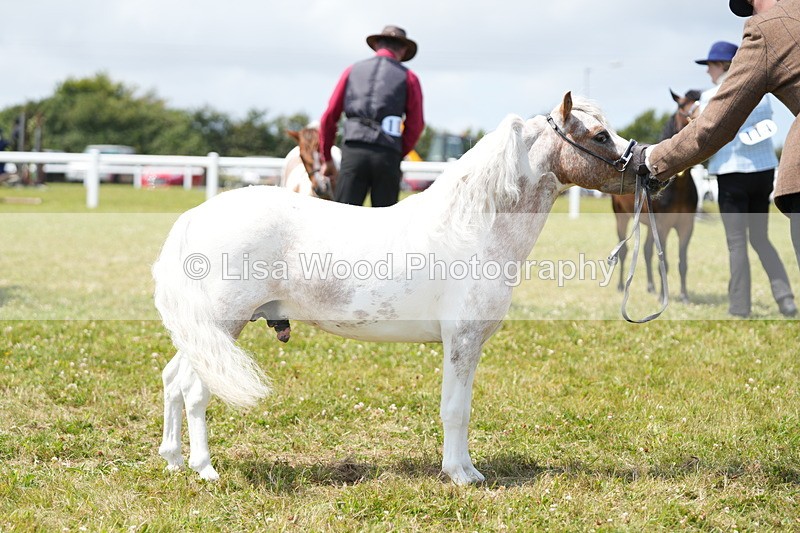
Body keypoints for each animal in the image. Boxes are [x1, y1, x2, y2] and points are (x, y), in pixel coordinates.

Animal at [152, 92, 656, 485]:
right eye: (599, 136)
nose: (648, 168)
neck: (474, 227)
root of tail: (196, 216)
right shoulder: (461, 340)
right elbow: (455, 409)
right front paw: (461, 475)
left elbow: (461, 407)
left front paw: (467, 470)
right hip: (222, 326)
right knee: (195, 390)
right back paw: (204, 468)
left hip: (205, 333)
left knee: (174, 380)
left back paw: (174, 461)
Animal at [611, 89, 701, 303]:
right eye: (682, 106)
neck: (678, 188)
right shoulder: (662, 226)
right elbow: (664, 261)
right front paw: (662, 297)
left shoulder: (686, 226)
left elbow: (682, 262)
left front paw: (684, 296)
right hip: (622, 217)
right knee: (624, 251)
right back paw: (621, 285)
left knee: (646, 250)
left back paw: (650, 287)